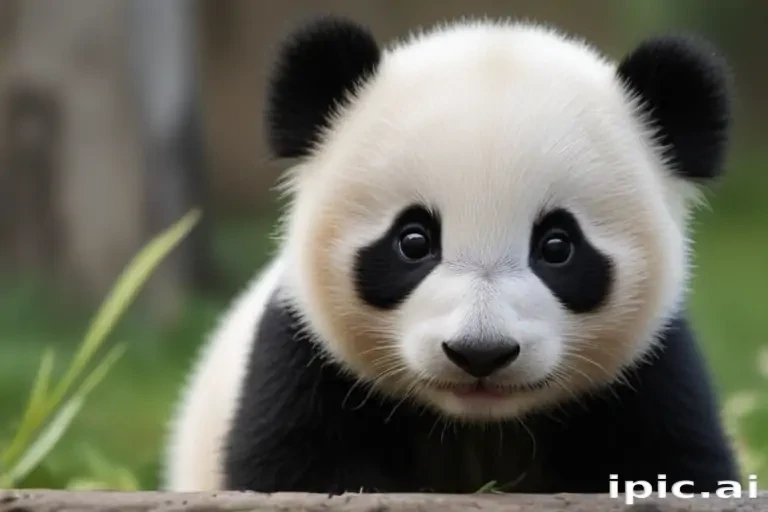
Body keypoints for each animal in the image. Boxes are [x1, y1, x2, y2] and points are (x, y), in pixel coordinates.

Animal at [163, 15, 740, 494]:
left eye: (557, 246)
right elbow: (295, 464)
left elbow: (678, 461)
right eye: (413, 240)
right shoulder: (306, 357)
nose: (480, 353)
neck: (476, 425)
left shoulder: (650, 376)